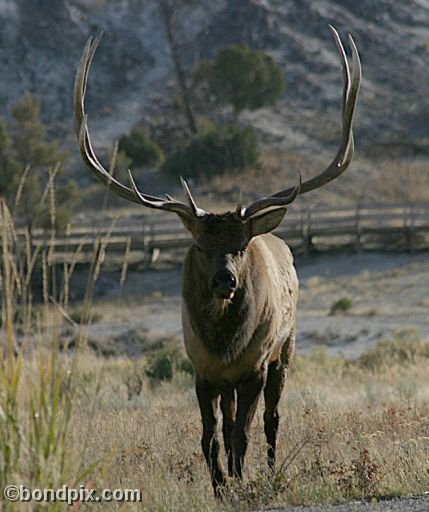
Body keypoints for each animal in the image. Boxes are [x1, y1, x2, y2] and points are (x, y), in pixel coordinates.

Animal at [74, 27, 362, 496]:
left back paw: (269, 469)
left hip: (286, 348)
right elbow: (209, 435)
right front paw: (218, 483)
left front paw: (239, 481)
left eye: (241, 245)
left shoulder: (254, 367)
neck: (225, 346)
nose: (224, 280)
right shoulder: (201, 370)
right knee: (228, 424)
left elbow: (244, 431)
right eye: (199, 245)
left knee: (272, 418)